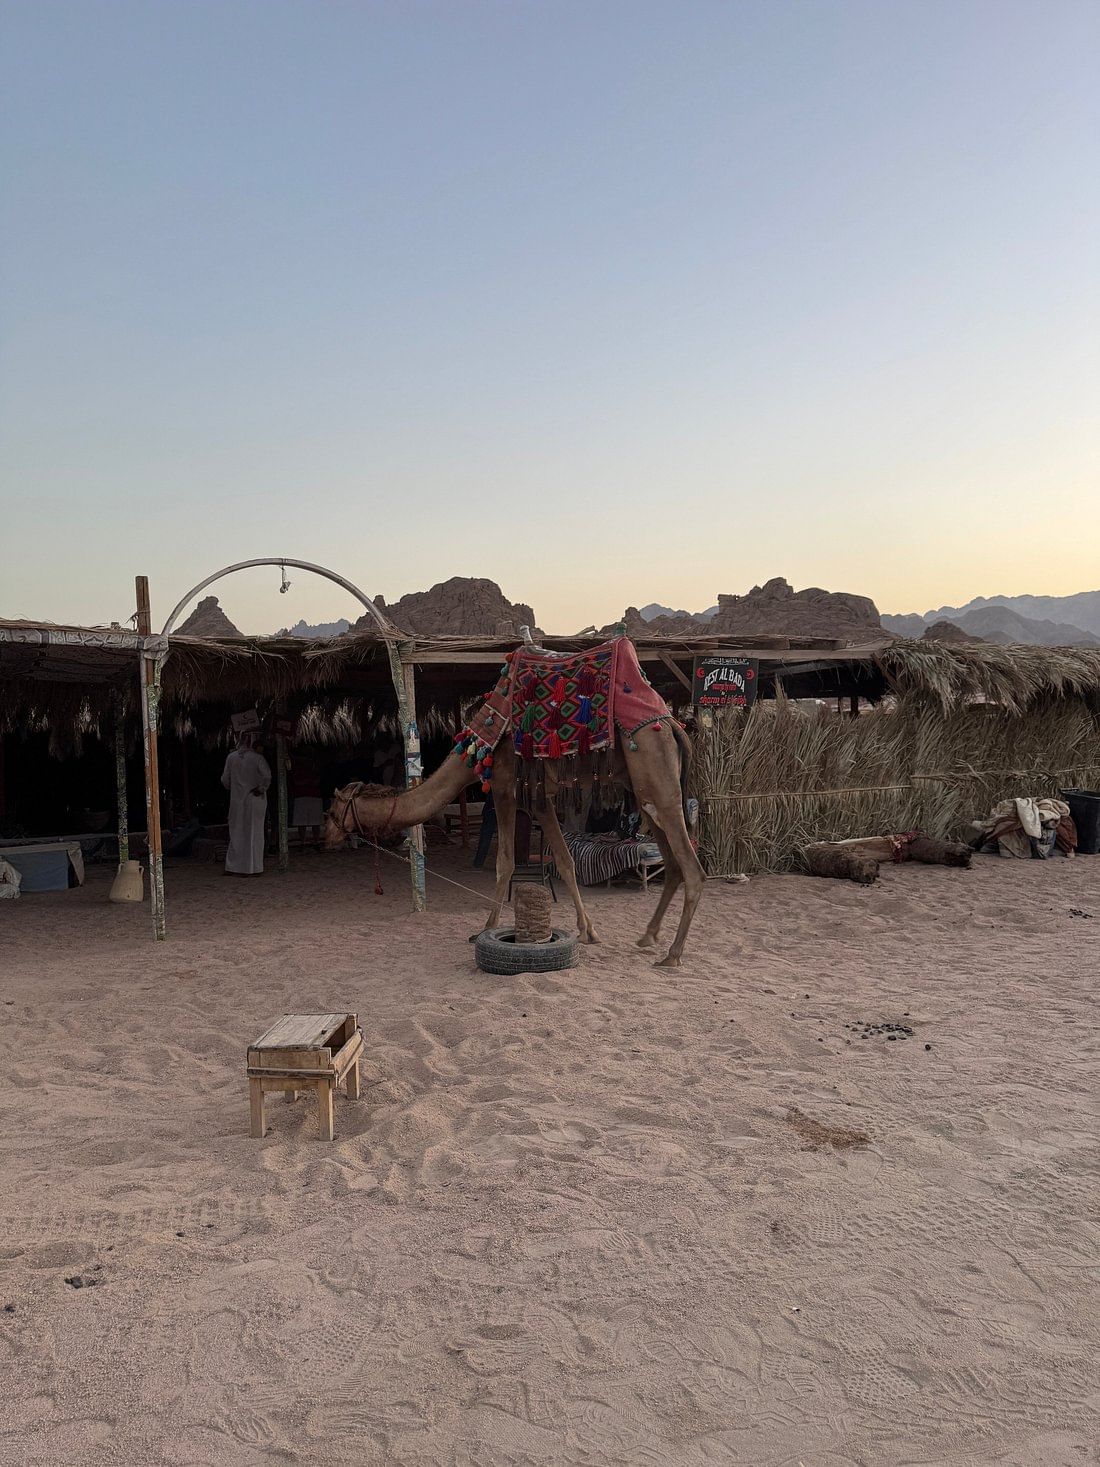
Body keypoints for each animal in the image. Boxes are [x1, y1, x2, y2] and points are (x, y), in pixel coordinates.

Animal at [324, 720, 705, 967]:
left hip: (659, 784)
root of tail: (675, 728)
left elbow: (505, 861)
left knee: (692, 868)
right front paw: (588, 931)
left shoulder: (505, 788)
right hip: (643, 792)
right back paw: (648, 936)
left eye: (330, 811)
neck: (473, 753)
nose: (327, 839)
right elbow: (565, 861)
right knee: (673, 865)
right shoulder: (539, 801)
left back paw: (673, 954)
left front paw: (484, 930)